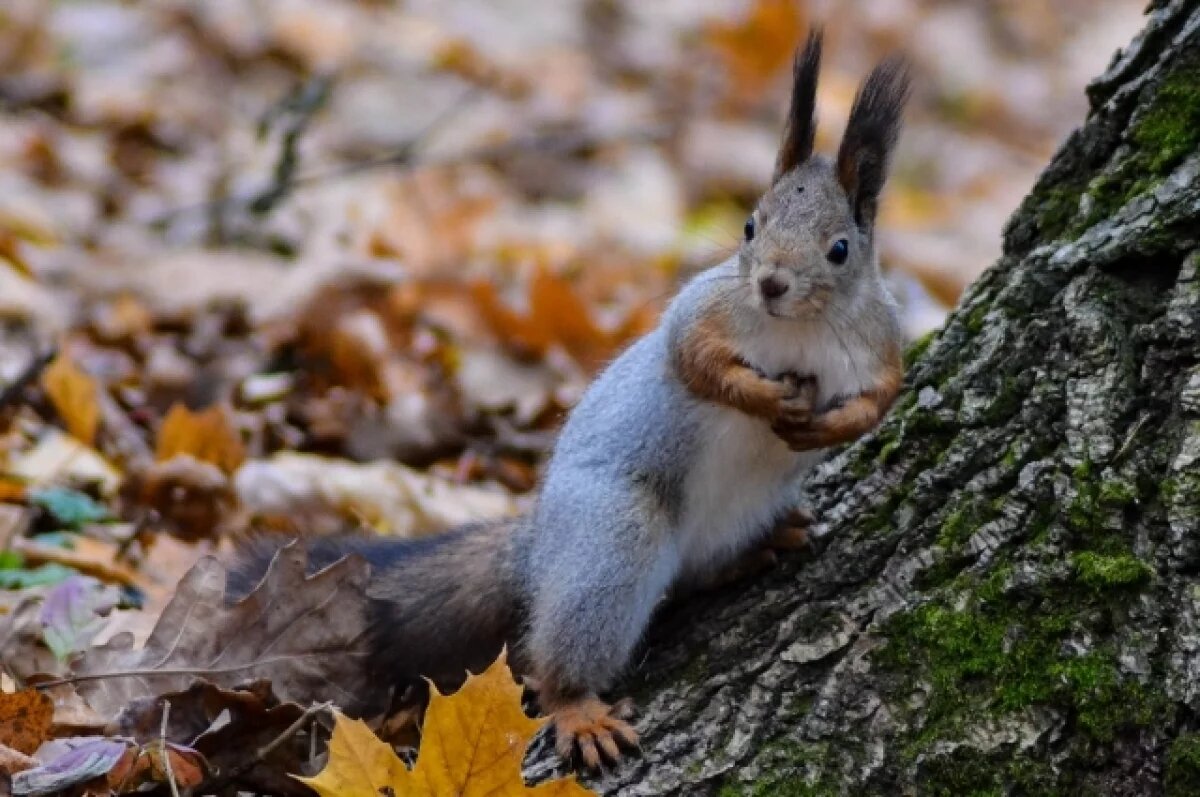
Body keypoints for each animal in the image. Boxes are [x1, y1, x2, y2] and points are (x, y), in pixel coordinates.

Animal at [226, 32, 907, 772]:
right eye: (751, 225)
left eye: (839, 249)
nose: (773, 284)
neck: (798, 330)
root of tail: (539, 548)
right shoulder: (705, 312)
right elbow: (692, 361)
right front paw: (760, 394)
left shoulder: (880, 343)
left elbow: (881, 399)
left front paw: (834, 423)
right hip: (613, 539)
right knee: (554, 657)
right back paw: (579, 708)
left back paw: (761, 544)